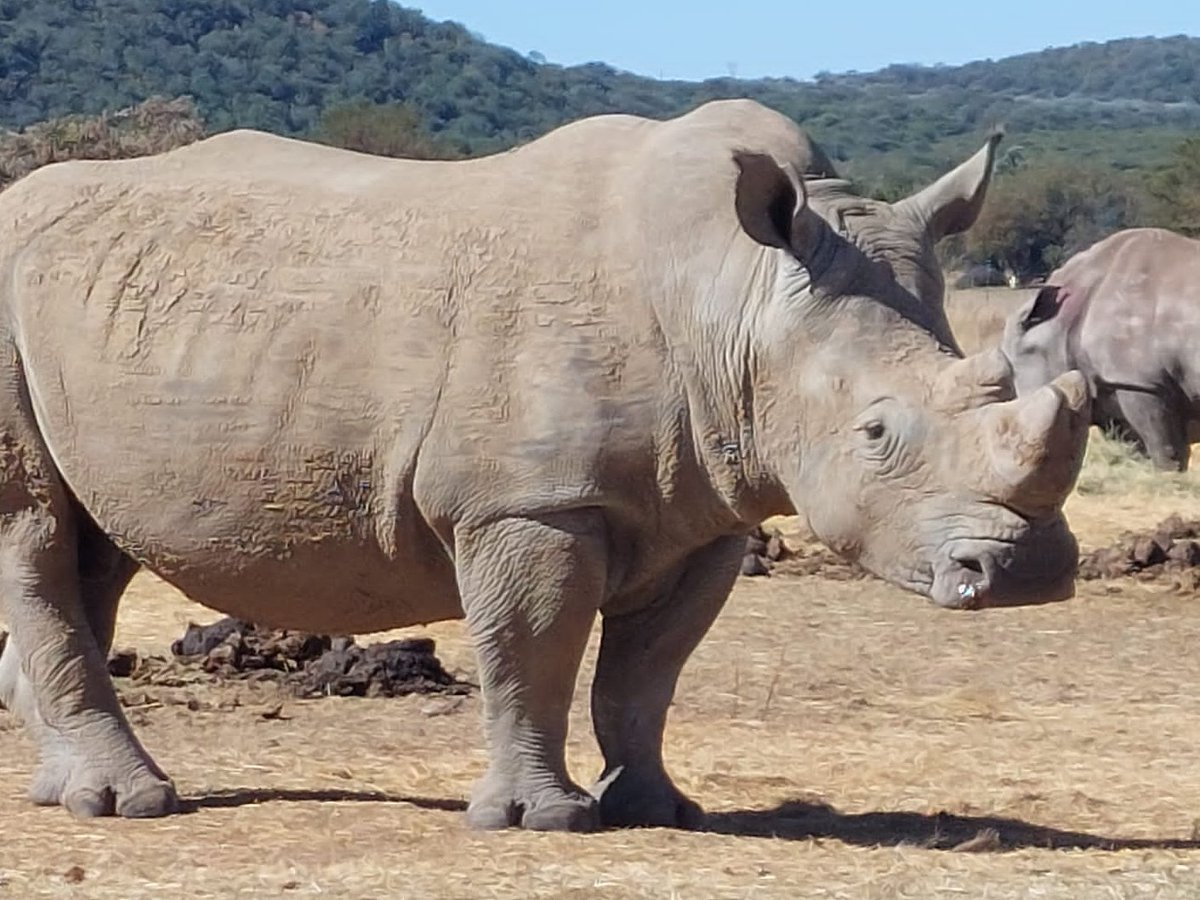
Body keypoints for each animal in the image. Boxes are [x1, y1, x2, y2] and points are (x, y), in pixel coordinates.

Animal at [0, 99, 1088, 831]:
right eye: (875, 434)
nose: (1025, 572)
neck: (732, 297)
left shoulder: (709, 508)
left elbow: (646, 674)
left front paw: (659, 809)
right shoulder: (527, 502)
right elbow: (535, 651)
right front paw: (539, 820)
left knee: (92, 548)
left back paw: (64, 791)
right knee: (36, 531)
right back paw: (129, 804)